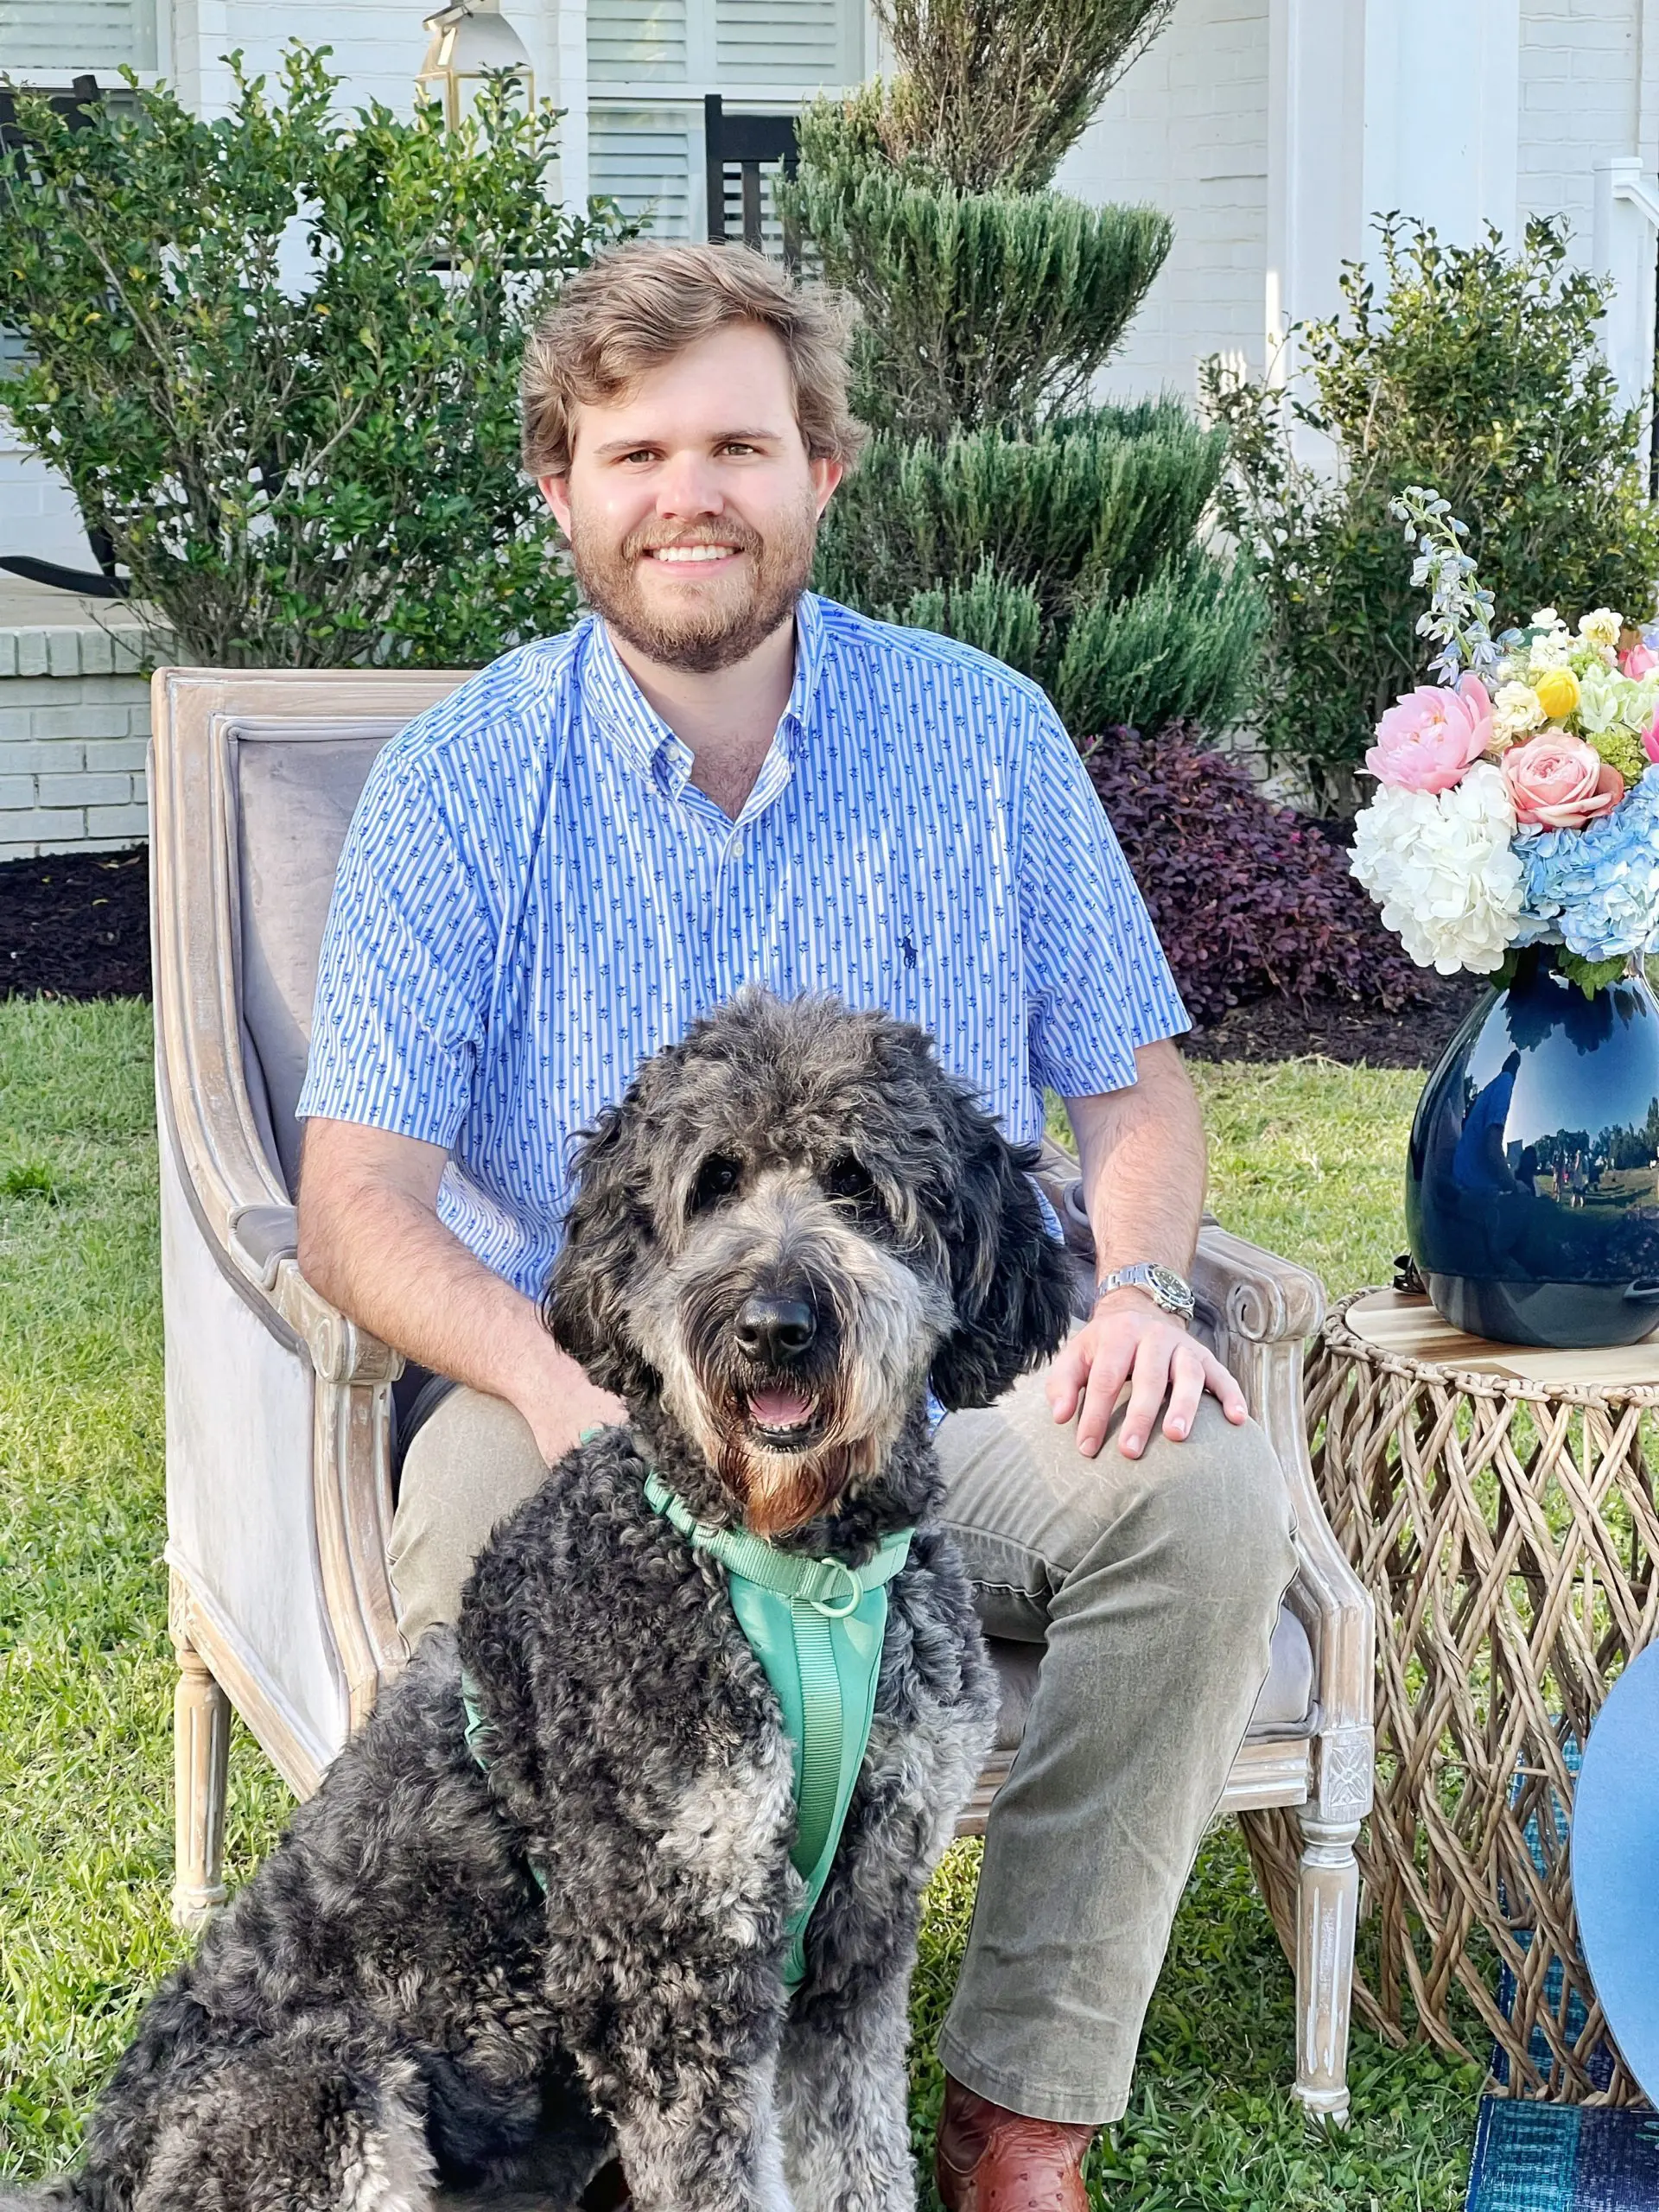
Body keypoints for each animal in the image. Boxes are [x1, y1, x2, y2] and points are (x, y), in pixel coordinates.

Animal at [10, 995, 1079, 2202]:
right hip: (329, 2093)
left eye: (856, 1182)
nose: (772, 1324)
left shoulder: (860, 1933)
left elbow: (861, 2160)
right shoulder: (672, 1956)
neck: (796, 1576)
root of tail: (100, 2168)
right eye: (713, 1182)